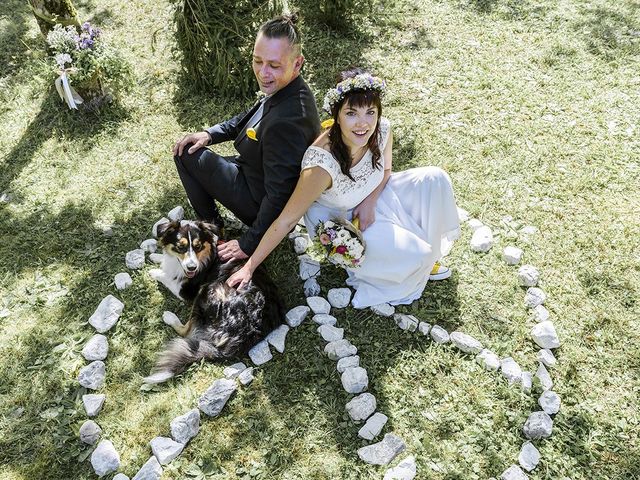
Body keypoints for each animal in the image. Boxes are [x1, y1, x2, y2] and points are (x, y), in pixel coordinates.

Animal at [148, 220, 284, 382]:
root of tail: (248, 331)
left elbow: (167, 278)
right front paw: (156, 256)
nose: (192, 267)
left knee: (186, 331)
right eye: (181, 247)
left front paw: (155, 271)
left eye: (198, 246)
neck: (207, 256)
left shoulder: (187, 291)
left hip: (207, 290)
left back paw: (169, 317)